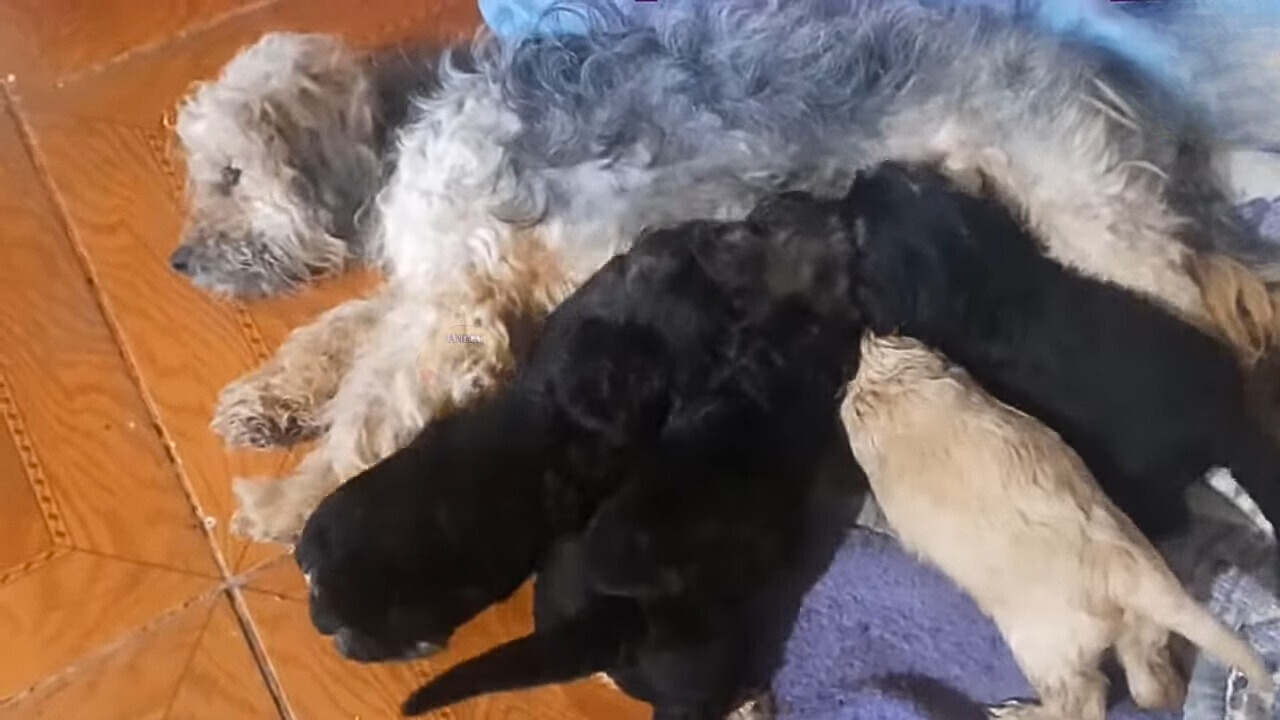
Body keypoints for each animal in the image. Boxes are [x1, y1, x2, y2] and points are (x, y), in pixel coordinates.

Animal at [839, 158, 1280, 538]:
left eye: (860, 229)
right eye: (909, 172)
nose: (860, 172)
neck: (985, 272)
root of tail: (1227, 422)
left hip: (1146, 470)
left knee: (1172, 516)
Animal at [839, 333, 1269, 717]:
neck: (899, 391)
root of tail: (1133, 574)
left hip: (1043, 646)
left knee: (1085, 700)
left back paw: (1020, 712)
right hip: (1140, 631)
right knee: (1151, 686)